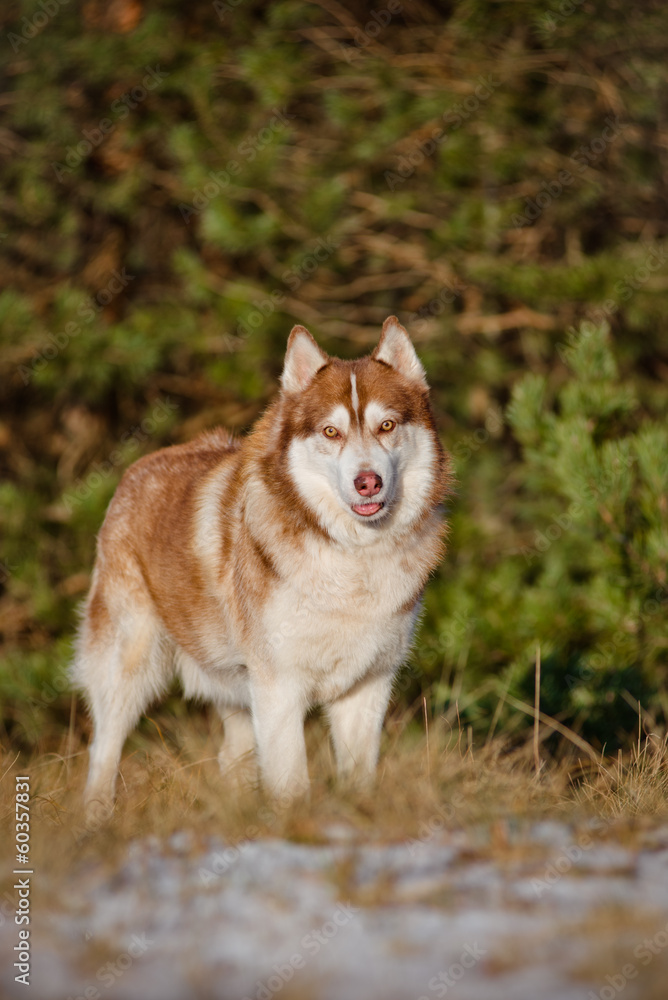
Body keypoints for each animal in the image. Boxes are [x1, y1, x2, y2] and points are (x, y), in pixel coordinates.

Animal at [73, 316, 452, 816]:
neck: (353, 560)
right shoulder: (279, 685)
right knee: (103, 750)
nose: (367, 482)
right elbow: (291, 780)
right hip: (129, 665)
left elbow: (357, 776)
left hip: (237, 695)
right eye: (331, 433)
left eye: (386, 425)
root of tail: (136, 470)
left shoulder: (366, 687)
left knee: (230, 759)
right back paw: (96, 818)